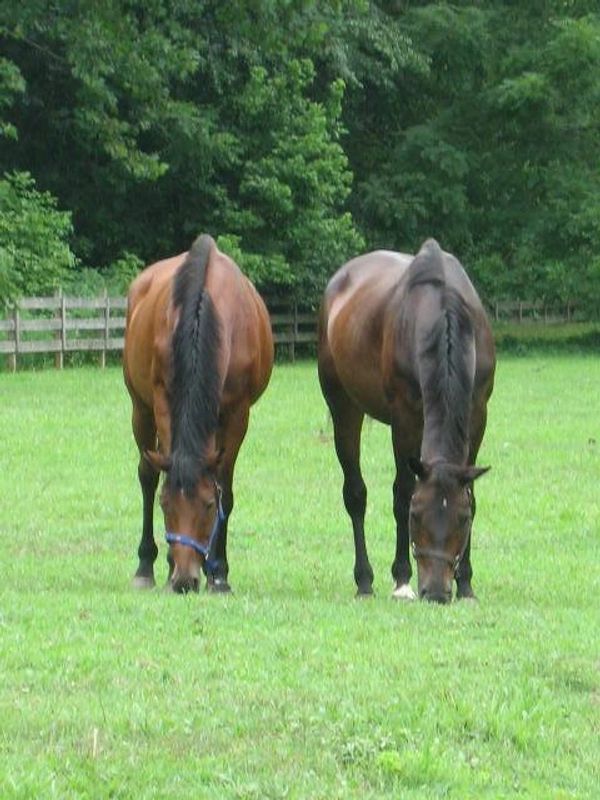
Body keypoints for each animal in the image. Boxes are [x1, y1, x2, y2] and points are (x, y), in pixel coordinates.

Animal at [123, 234, 274, 593]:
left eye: (207, 506)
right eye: (166, 505)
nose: (183, 579)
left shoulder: (237, 413)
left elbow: (226, 490)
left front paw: (219, 573)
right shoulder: (163, 399)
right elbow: (161, 475)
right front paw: (168, 566)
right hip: (140, 408)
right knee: (147, 475)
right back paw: (146, 566)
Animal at [318, 239, 495, 603]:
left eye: (462, 519)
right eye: (416, 515)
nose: (437, 592)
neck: (442, 312)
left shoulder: (477, 414)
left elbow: (472, 493)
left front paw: (466, 584)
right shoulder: (405, 419)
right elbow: (401, 492)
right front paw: (402, 580)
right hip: (344, 406)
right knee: (355, 494)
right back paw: (364, 580)